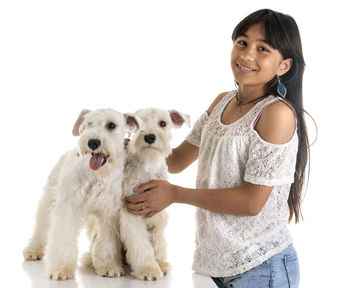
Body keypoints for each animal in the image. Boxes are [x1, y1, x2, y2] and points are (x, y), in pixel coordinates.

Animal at [21, 109, 134, 280]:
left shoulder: (107, 214)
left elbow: (106, 242)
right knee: (41, 228)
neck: (96, 175)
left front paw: (108, 266)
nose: (92, 142)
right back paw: (32, 250)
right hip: (48, 201)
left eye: (111, 125)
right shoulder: (69, 209)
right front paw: (60, 269)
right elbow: (63, 238)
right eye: (89, 123)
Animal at [121, 107, 191, 280]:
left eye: (163, 123)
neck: (148, 166)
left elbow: (158, 242)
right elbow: (141, 244)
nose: (149, 137)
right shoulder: (132, 212)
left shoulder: (158, 212)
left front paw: (161, 263)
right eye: (138, 122)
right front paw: (148, 270)